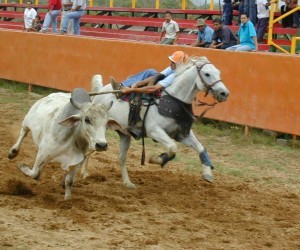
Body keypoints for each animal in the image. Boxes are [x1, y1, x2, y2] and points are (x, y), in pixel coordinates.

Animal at [91, 56, 230, 188]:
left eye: (218, 72)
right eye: (207, 74)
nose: (224, 93)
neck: (174, 99)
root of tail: (99, 93)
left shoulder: (182, 135)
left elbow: (200, 148)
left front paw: (207, 172)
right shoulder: (154, 131)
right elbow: (173, 147)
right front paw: (157, 159)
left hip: (124, 134)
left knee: (122, 157)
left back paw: (127, 182)